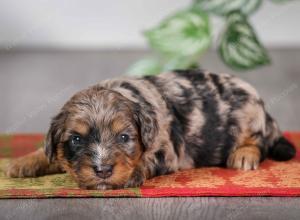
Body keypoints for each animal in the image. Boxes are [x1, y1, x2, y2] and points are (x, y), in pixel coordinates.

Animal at [5, 69, 296, 189]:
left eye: (125, 137)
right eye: (76, 139)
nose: (102, 170)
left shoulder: (167, 152)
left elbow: (145, 161)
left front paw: (132, 174)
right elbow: (47, 152)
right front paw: (21, 163)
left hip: (250, 115)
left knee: (260, 141)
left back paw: (244, 154)